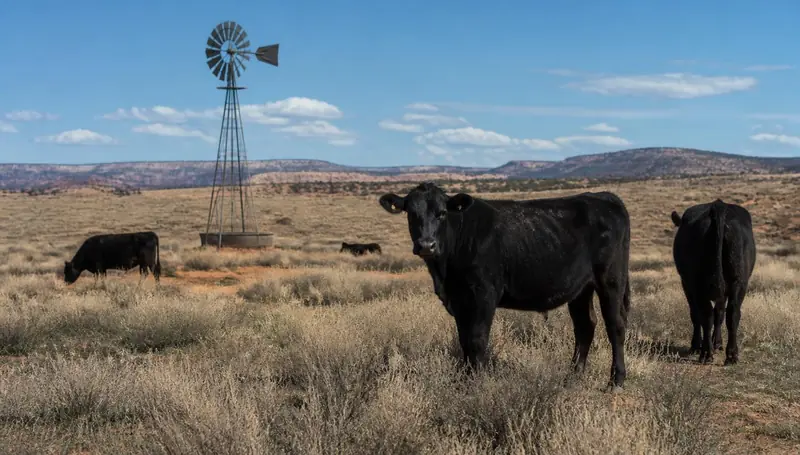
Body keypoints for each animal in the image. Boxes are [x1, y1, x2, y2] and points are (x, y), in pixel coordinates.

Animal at [379, 182, 632, 391]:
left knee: (615, 325)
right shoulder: (459, 299)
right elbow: (464, 340)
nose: (426, 245)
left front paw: (477, 383)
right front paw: (464, 380)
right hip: (580, 288)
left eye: (442, 213)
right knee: (585, 326)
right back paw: (573, 377)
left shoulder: (484, 294)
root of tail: (603, 196)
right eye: (412, 214)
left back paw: (615, 381)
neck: (445, 272)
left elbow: (477, 339)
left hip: (611, 279)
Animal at [670, 199, 756, 366]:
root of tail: (718, 205)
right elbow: (720, 313)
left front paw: (696, 345)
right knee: (732, 313)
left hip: (697, 283)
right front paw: (717, 343)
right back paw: (731, 355)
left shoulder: (687, 285)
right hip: (739, 281)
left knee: (705, 314)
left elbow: (697, 315)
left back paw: (705, 353)